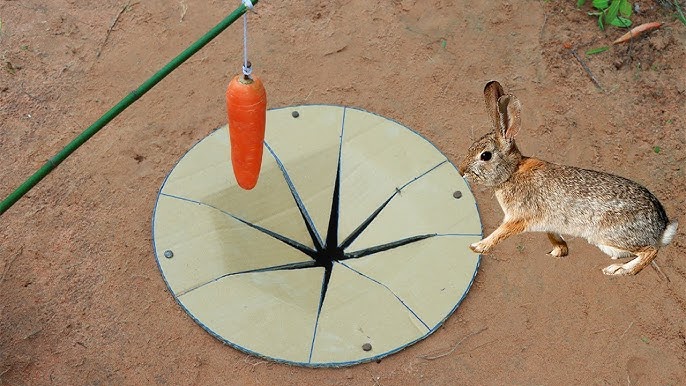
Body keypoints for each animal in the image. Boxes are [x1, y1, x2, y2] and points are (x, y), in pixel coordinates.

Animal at [460, 80, 680, 276]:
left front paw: (476, 247)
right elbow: (554, 237)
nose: (462, 171)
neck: (512, 172)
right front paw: (557, 252)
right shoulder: (548, 224)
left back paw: (619, 270)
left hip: (612, 234)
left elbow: (500, 233)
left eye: (485, 155)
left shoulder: (518, 218)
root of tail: (661, 228)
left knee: (650, 251)